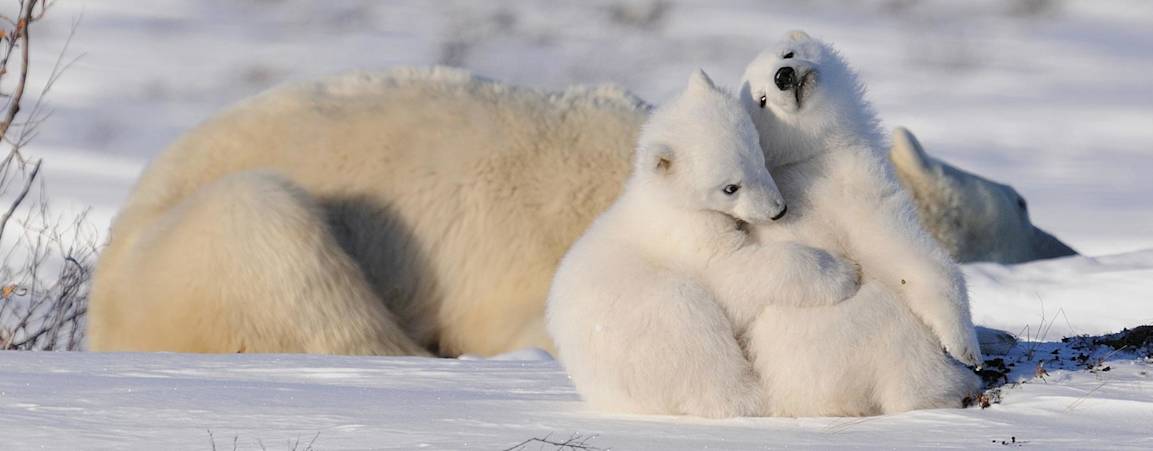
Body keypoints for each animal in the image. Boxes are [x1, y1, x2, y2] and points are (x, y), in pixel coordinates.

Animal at [546, 70, 860, 417]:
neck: (669, 201)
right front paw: (842, 273)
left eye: (758, 154)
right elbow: (732, 274)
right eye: (730, 187)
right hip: (654, 327)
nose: (778, 210)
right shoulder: (689, 237)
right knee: (698, 343)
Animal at [737, 31, 983, 415]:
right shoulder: (852, 183)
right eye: (761, 100)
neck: (809, 154)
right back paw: (956, 387)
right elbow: (902, 250)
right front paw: (966, 346)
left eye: (787, 53)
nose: (784, 76)